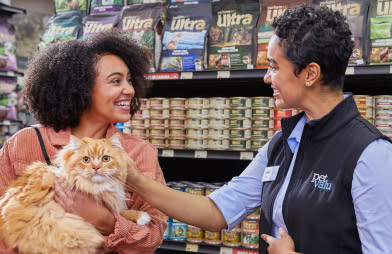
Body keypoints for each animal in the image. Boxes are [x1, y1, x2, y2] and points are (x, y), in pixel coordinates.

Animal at [0, 134, 150, 253]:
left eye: (106, 159)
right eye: (86, 160)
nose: (96, 168)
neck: (94, 187)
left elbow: (121, 213)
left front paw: (140, 216)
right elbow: (120, 213)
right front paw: (142, 217)